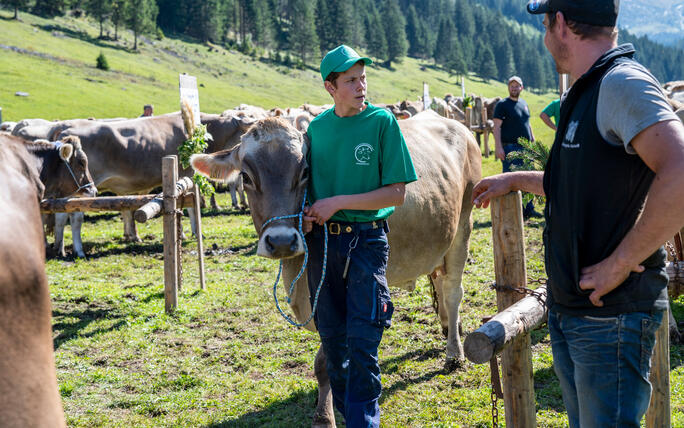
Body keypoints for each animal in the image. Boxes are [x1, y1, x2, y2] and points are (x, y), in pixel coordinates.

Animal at [192, 112, 480, 426]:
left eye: (305, 172)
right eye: (245, 176)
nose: (281, 241)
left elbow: (326, 360)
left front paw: (324, 416)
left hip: (464, 224)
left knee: (453, 291)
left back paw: (454, 353)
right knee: (439, 279)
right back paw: (447, 326)